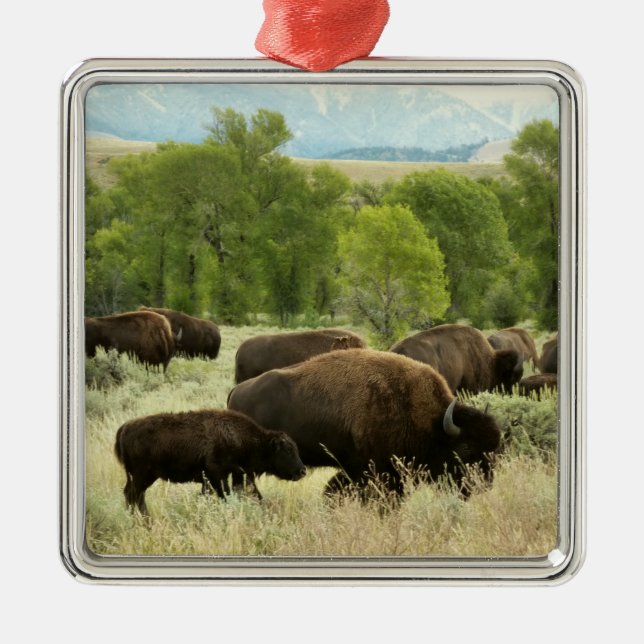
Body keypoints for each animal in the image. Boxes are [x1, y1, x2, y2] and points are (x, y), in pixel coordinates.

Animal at [114, 409, 306, 515]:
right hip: (141, 476)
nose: (302, 471)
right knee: (134, 495)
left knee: (134, 495)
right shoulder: (217, 475)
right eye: (288, 450)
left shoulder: (225, 476)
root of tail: (125, 428)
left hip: (141, 477)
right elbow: (224, 495)